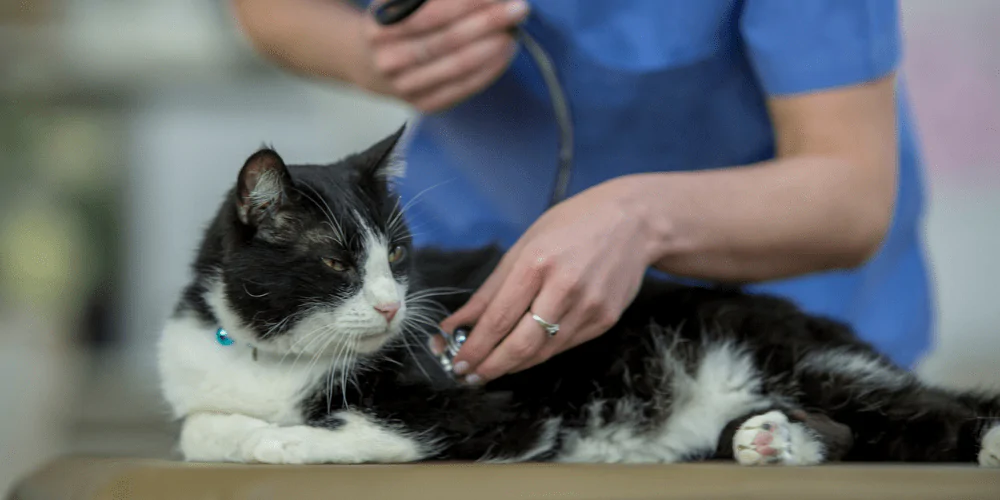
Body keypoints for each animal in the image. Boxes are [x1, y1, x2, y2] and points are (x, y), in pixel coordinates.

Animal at [156, 128, 1000, 464]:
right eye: (335, 261)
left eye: (395, 255)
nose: (396, 306)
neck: (276, 360)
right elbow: (198, 427)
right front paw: (243, 432)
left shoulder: (489, 409)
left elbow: (380, 428)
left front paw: (283, 441)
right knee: (863, 432)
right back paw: (770, 442)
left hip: (795, 356)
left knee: (922, 415)